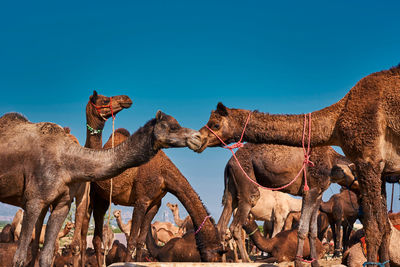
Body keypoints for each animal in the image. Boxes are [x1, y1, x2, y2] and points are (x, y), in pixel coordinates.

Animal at [0, 109, 202, 267]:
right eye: (173, 127)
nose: (198, 137)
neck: (66, 158)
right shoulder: (33, 200)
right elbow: (18, 259)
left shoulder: (62, 203)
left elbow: (47, 256)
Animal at [195, 63, 400, 267]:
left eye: (215, 124)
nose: (198, 138)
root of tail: (229, 163)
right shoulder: (317, 189)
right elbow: (308, 228)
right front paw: (303, 261)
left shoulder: (358, 168)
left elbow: (372, 227)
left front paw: (309, 262)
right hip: (241, 182)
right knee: (231, 224)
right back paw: (237, 260)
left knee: (228, 225)